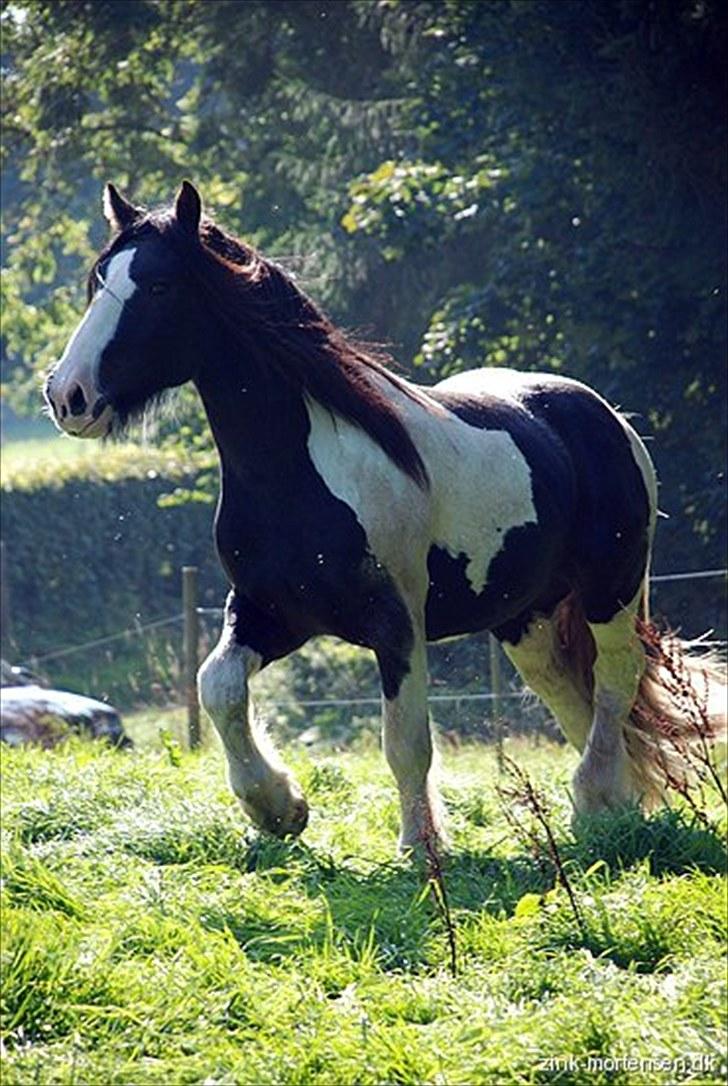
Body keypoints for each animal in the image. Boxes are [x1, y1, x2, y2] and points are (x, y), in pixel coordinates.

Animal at [42, 180, 725, 847]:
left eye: (158, 286)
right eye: (98, 281)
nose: (67, 395)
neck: (299, 474)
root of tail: (606, 415)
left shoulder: (396, 624)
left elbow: (405, 743)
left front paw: (420, 848)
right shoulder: (271, 611)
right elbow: (218, 686)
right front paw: (278, 809)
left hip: (611, 588)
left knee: (616, 677)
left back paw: (595, 799)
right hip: (525, 618)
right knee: (568, 689)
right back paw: (615, 809)